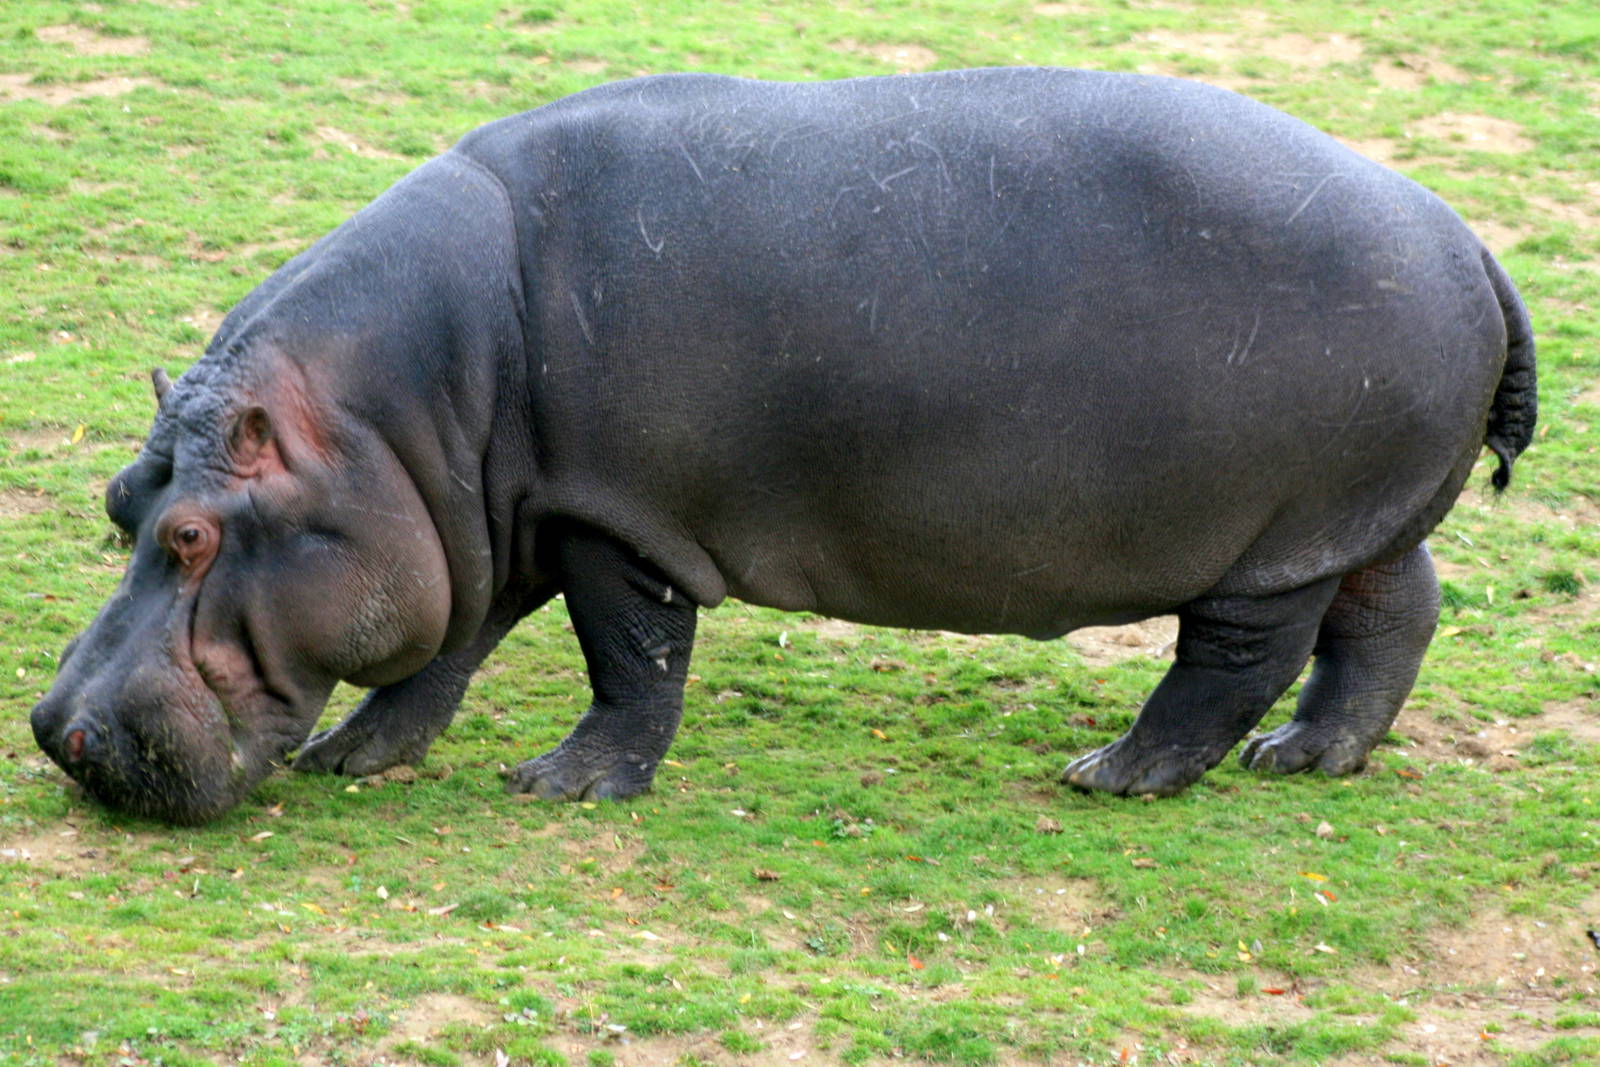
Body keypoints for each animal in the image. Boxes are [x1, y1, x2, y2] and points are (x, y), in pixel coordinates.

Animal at [31, 69, 1535, 824]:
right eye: (116, 499)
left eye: (192, 534)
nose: (59, 732)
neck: (386, 414)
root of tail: (1464, 233)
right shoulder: (484, 521)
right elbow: (441, 651)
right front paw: (360, 756)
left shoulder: (613, 516)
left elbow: (629, 655)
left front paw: (562, 786)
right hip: (1353, 518)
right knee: (1392, 610)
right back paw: (1311, 757)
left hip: (1269, 536)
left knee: (1232, 660)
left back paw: (1115, 774)